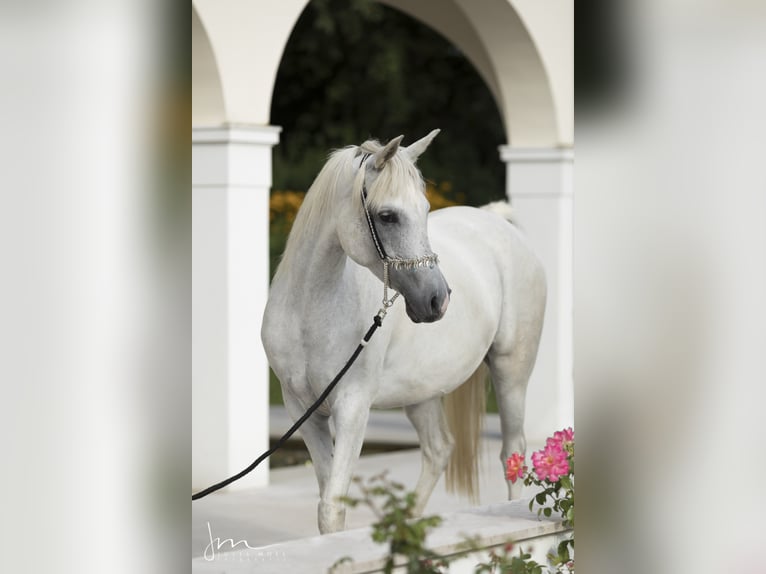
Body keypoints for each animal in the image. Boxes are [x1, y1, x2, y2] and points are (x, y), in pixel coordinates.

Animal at [262, 130, 544, 536]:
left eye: (425, 210)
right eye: (387, 215)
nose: (437, 298)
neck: (309, 313)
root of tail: (495, 220)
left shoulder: (352, 407)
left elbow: (332, 504)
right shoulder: (303, 411)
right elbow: (327, 502)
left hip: (512, 371)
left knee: (512, 453)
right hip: (421, 392)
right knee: (439, 449)